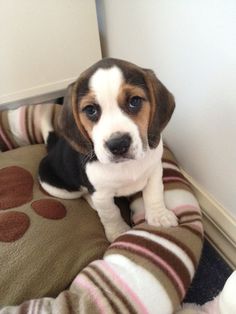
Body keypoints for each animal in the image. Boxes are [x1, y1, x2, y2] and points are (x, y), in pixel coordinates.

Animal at [38, 57, 178, 242]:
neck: (125, 166)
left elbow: (154, 193)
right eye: (90, 110)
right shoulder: (101, 194)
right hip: (58, 189)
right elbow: (111, 213)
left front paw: (159, 216)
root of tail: (53, 146)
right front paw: (118, 232)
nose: (118, 144)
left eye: (135, 101)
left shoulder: (155, 170)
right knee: (83, 194)